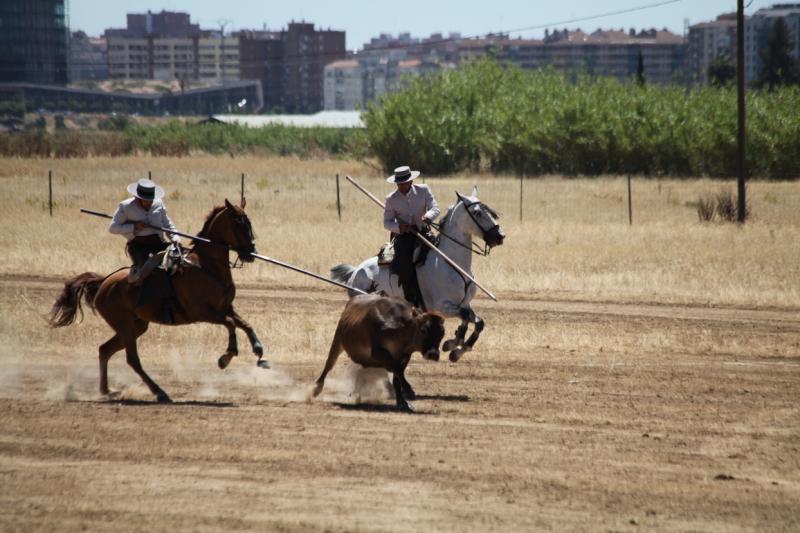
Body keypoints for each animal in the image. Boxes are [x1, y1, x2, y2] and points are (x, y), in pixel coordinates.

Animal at [49, 197, 262, 402]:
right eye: (238, 223)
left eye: (249, 222)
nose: (251, 253)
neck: (206, 266)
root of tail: (103, 282)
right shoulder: (201, 312)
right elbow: (231, 323)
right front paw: (226, 357)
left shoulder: (225, 307)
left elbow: (244, 324)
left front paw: (259, 350)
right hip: (125, 326)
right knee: (132, 359)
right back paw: (159, 392)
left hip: (136, 326)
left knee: (105, 350)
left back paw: (107, 391)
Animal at [332, 187, 506, 362]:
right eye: (477, 212)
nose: (500, 236)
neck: (452, 263)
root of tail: (356, 271)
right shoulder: (442, 307)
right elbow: (469, 318)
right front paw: (455, 347)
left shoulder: (464, 303)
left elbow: (475, 321)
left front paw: (453, 345)